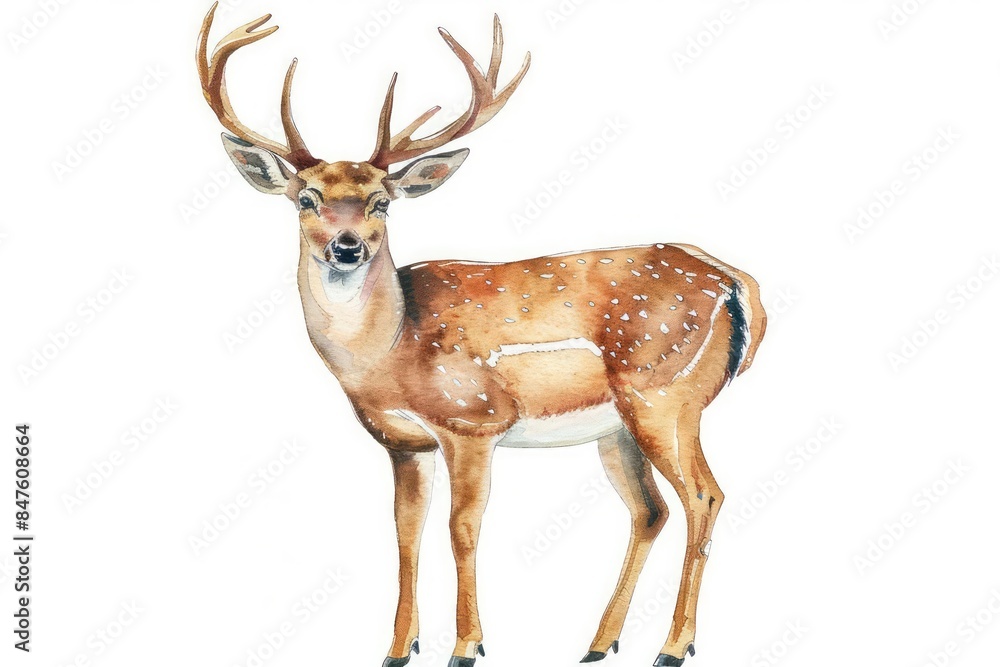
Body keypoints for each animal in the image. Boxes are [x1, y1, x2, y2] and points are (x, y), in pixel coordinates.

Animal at [196, 4, 766, 667]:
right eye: (305, 199)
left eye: (381, 202)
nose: (347, 246)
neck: (390, 353)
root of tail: (737, 283)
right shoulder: (404, 441)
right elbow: (405, 533)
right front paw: (398, 648)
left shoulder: (472, 419)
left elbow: (461, 529)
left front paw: (466, 645)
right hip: (619, 426)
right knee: (650, 511)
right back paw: (598, 642)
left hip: (667, 395)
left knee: (704, 496)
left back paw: (673, 645)